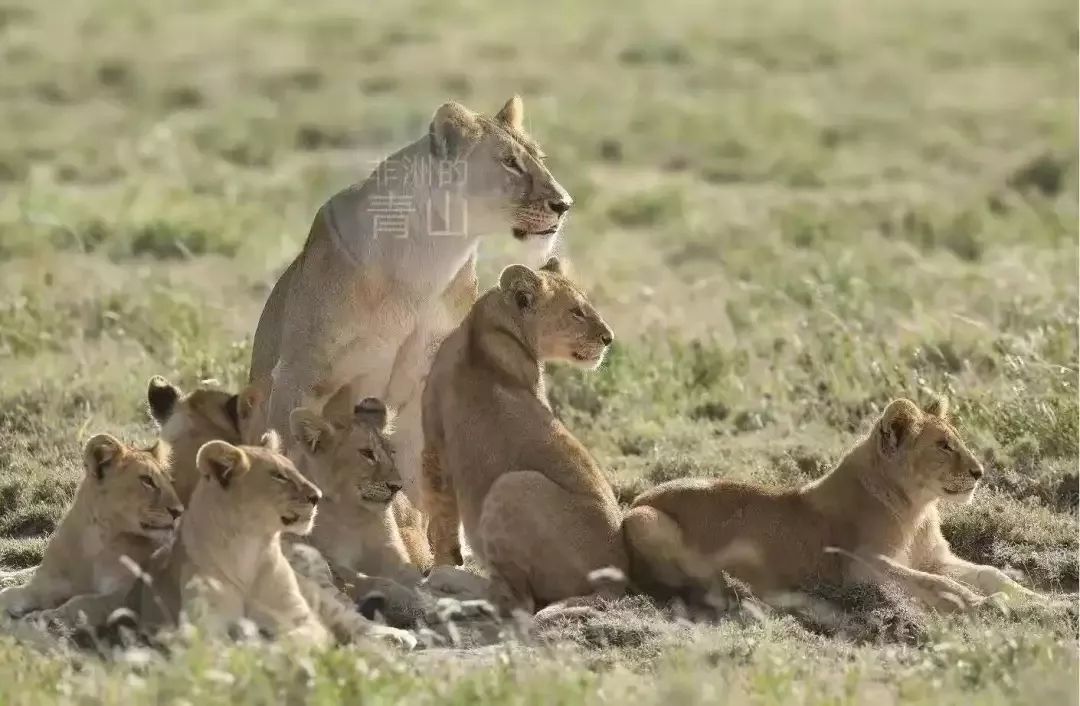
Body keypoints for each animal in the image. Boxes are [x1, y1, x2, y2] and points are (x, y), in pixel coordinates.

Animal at [626, 397, 1036, 613]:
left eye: (956, 440)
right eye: (943, 445)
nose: (979, 472)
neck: (918, 508)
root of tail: (640, 495)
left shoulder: (935, 557)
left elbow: (987, 572)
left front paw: (1034, 599)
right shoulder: (861, 566)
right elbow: (934, 583)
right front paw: (986, 605)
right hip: (643, 519)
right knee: (698, 584)